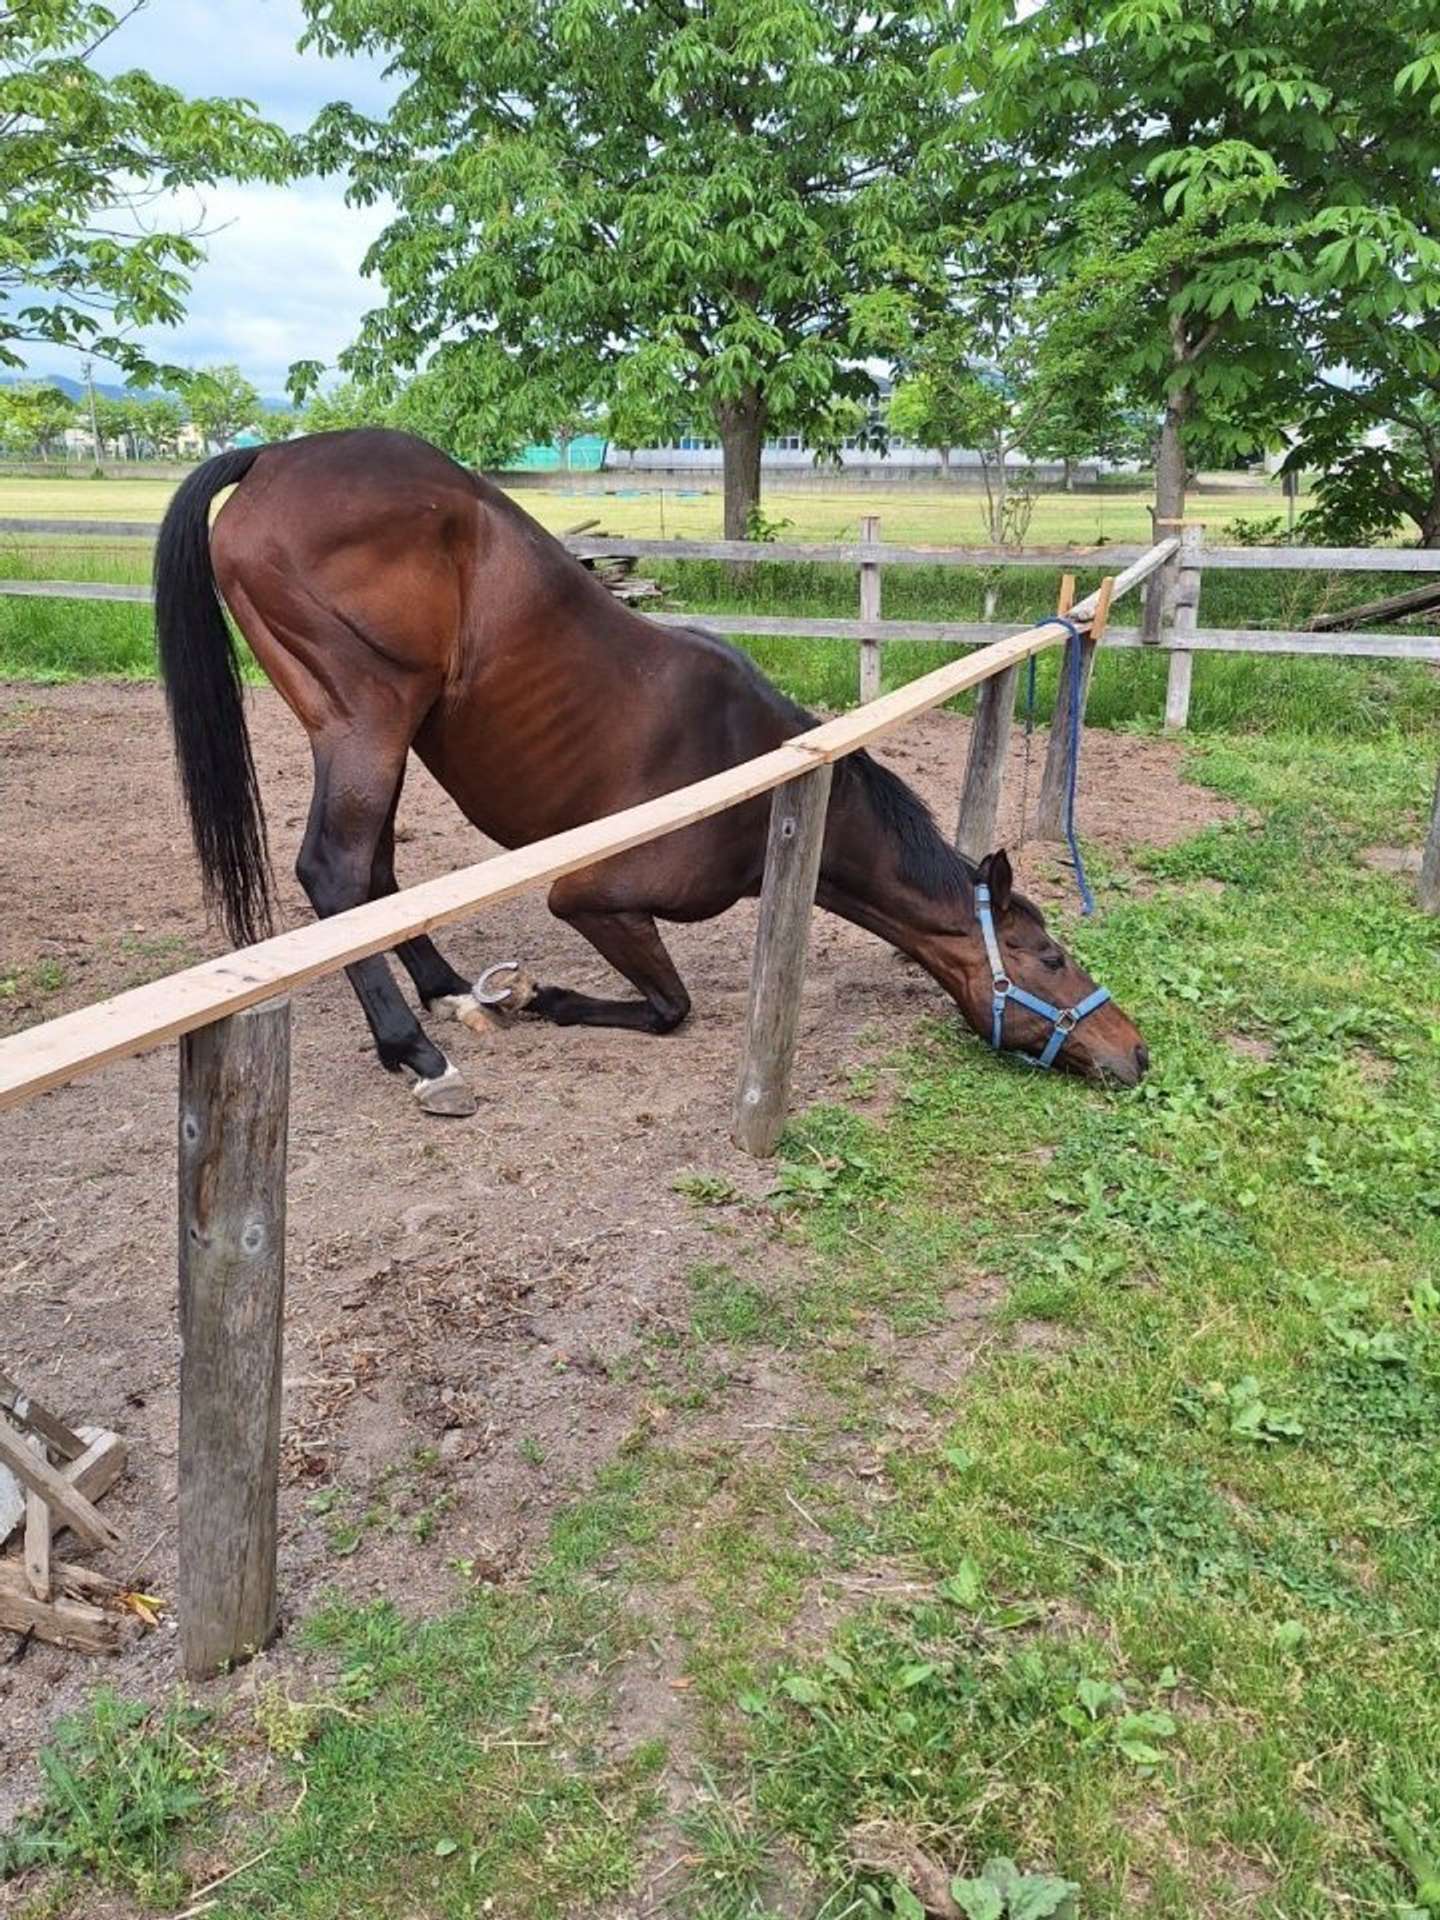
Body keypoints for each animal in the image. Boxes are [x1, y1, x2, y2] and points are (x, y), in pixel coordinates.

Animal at [155, 420, 1152, 1113]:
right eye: (1052, 957)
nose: (1136, 1051)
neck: (754, 776)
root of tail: (273, 455)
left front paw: (518, 995)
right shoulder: (592, 896)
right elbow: (672, 1006)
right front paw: (546, 997)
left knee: (377, 875)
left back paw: (448, 994)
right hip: (366, 719)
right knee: (335, 871)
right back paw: (420, 1054)